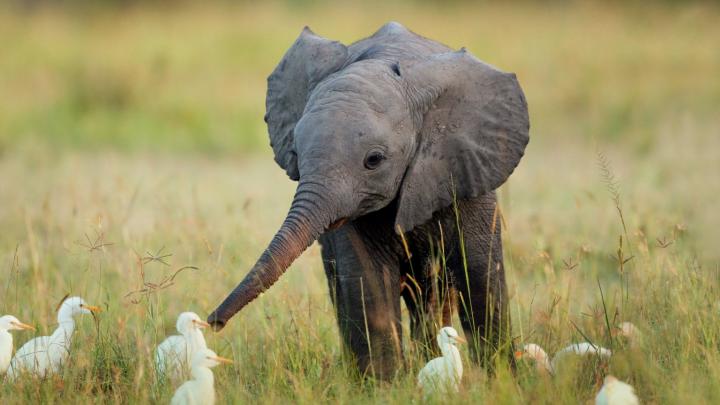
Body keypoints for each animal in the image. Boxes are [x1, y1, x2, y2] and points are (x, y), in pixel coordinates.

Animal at [208, 21, 529, 380]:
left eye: (373, 160)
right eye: (295, 154)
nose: (213, 322)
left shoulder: (466, 168)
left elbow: (480, 275)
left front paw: (502, 380)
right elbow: (368, 281)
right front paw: (384, 385)